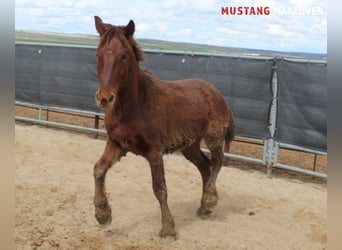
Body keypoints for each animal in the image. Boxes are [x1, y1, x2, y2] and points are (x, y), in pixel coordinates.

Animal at [92, 16, 235, 238]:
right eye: (98, 53)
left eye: (123, 56)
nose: (105, 98)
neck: (135, 105)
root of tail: (214, 91)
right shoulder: (116, 143)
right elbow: (98, 169)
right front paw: (103, 215)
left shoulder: (154, 151)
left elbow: (160, 188)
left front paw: (168, 229)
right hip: (190, 145)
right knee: (205, 166)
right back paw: (203, 207)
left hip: (214, 136)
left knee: (217, 161)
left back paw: (210, 200)